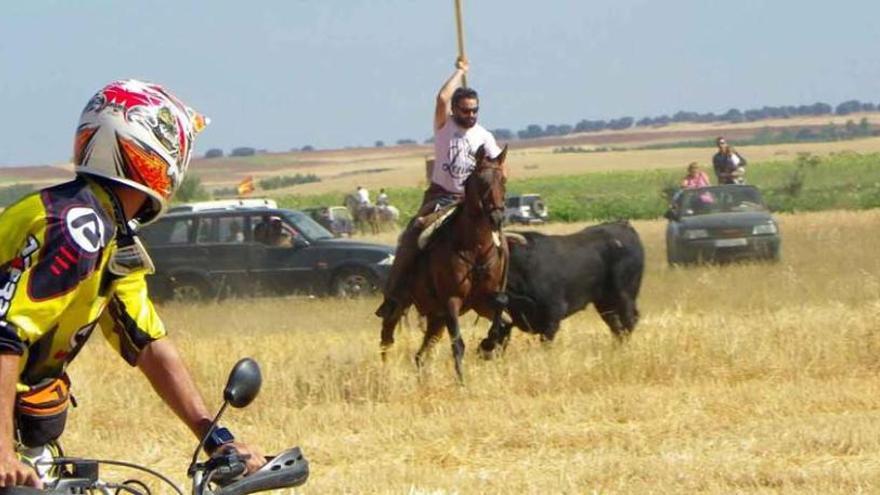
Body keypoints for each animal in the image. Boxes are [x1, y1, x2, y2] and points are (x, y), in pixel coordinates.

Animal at [378, 145, 508, 382]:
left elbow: (502, 319)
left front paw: (487, 345)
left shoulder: (483, 300)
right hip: (401, 304)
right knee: (386, 338)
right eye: (481, 181)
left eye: (503, 180)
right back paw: (386, 374)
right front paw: (462, 382)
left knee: (420, 355)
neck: (473, 247)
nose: (497, 218)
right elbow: (458, 344)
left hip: (435, 317)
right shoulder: (451, 301)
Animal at [482, 221, 648, 352]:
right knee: (615, 325)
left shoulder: (553, 313)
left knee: (629, 320)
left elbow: (546, 341)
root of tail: (624, 226)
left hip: (625, 294)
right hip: (604, 302)